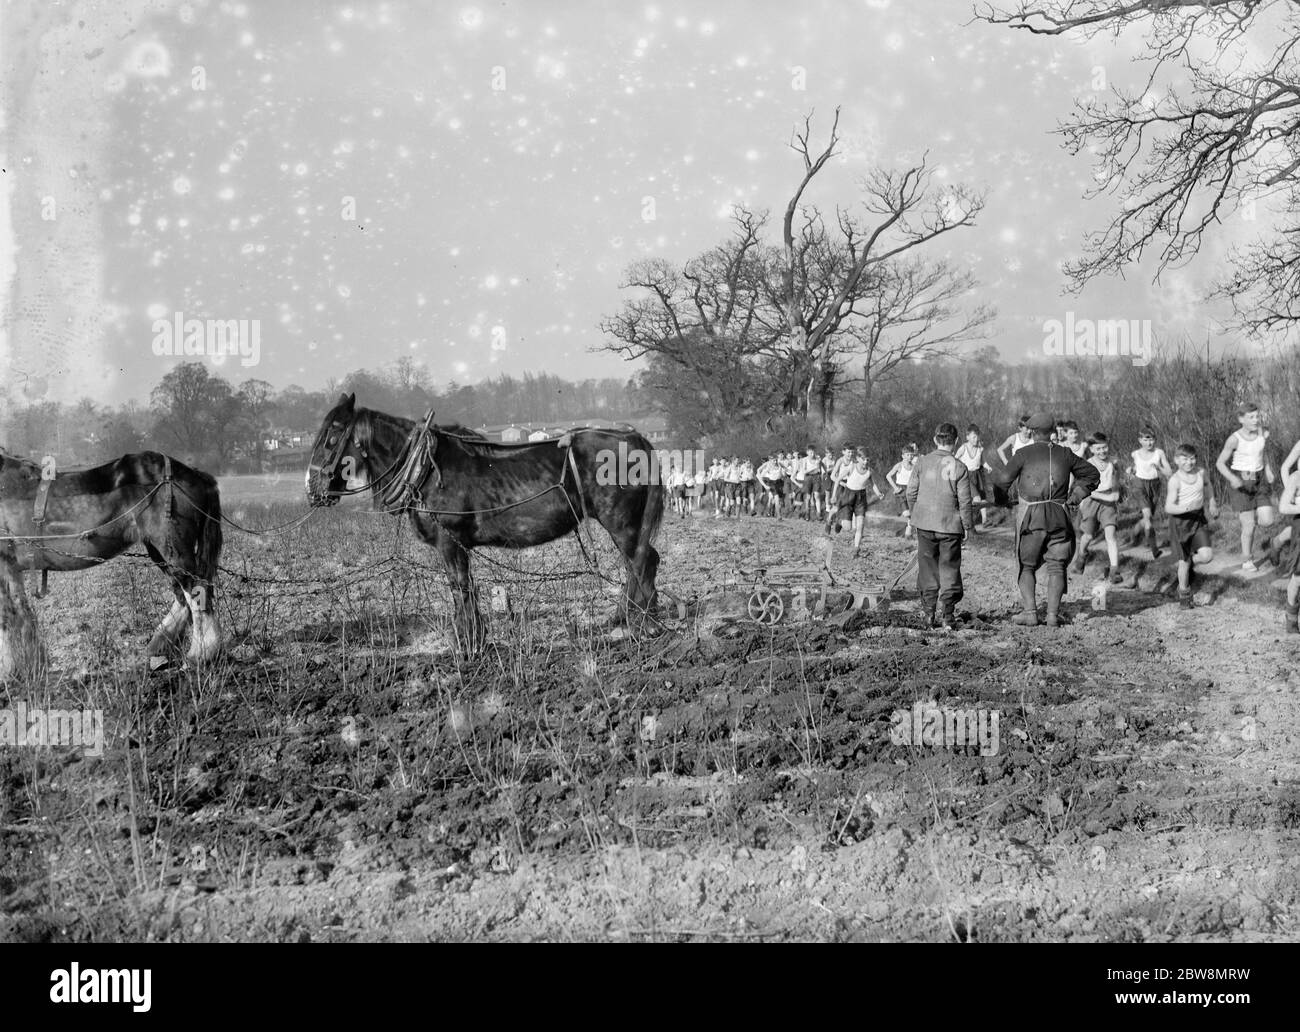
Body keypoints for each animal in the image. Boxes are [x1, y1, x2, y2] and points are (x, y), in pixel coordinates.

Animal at [0, 444, 223, 670]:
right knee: (183, 597)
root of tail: (196, 474)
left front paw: (14, 670)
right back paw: (159, 647)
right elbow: (20, 613)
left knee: (197, 593)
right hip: (159, 551)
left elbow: (9, 618)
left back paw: (199, 656)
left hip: (174, 550)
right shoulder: (10, 568)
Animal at [308, 395, 665, 652]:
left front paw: (467, 642)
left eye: (332, 436)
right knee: (638, 562)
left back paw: (643, 623)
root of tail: (634, 437)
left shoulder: (449, 542)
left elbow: (460, 587)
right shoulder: (456, 545)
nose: (312, 489)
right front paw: (474, 636)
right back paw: (627, 617)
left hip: (620, 521)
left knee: (642, 561)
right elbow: (464, 587)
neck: (425, 470)